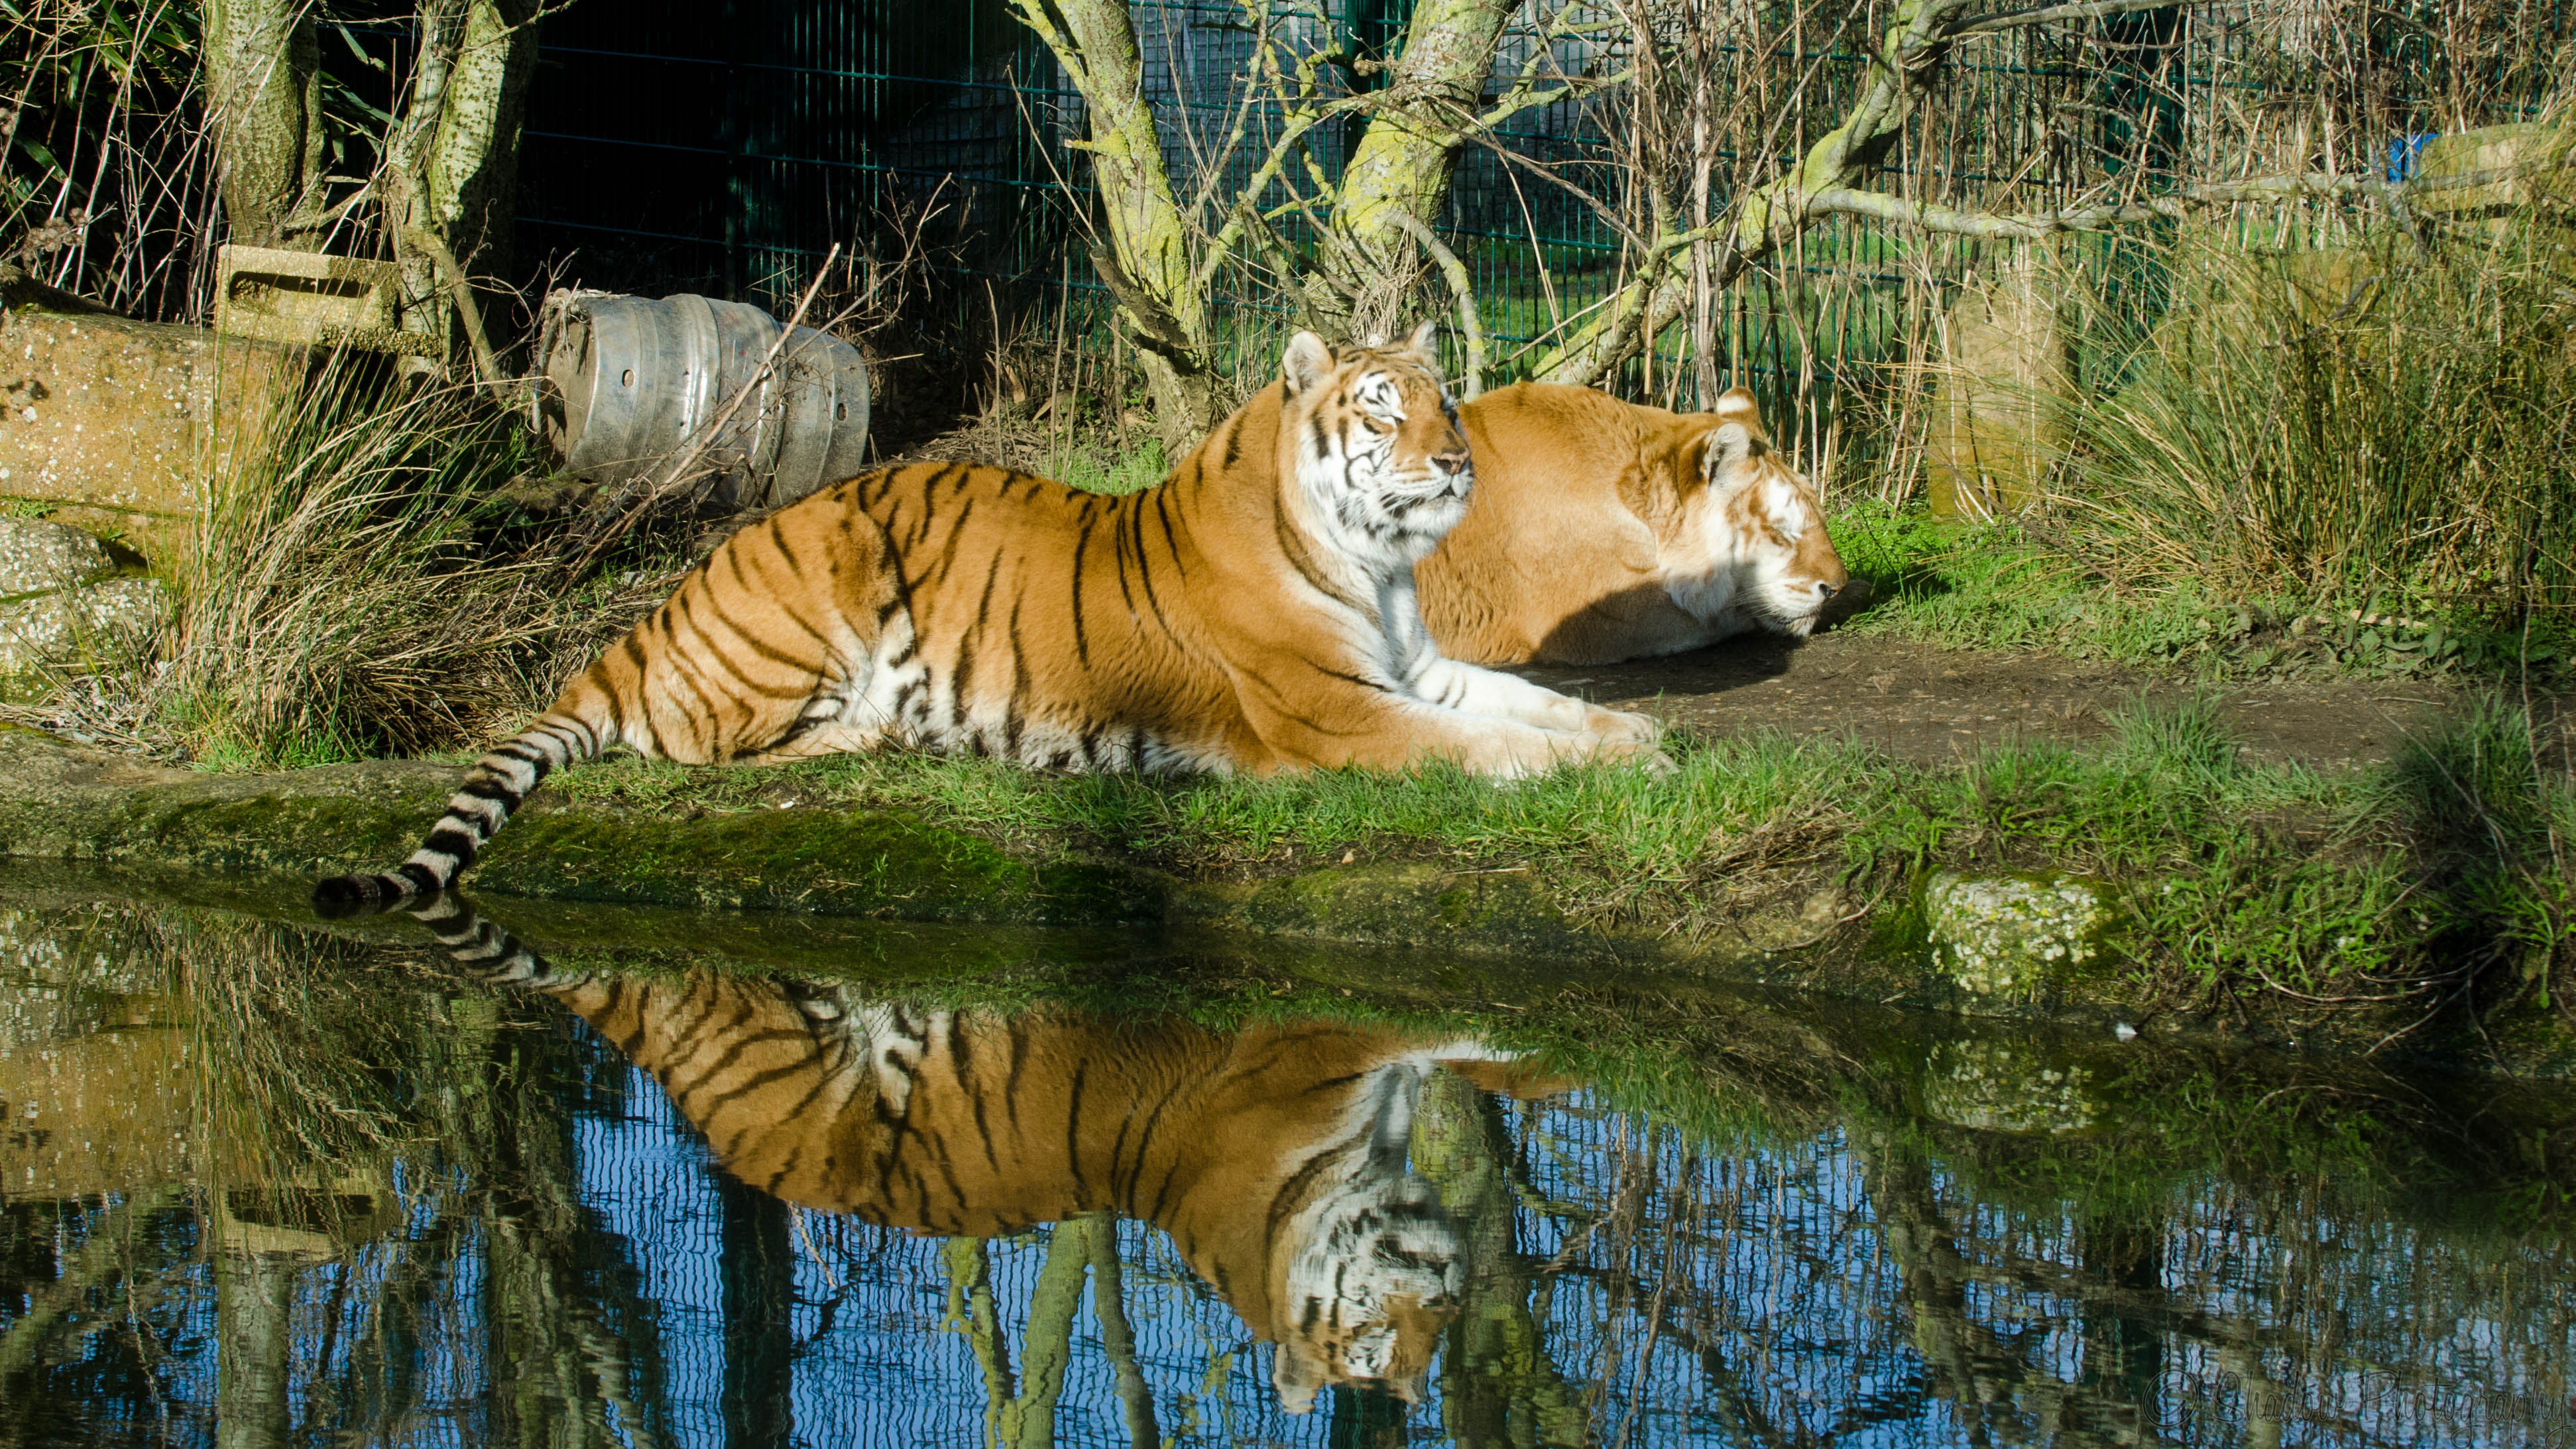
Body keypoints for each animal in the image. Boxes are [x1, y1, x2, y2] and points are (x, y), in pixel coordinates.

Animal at [316, 326, 1659, 914]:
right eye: (1383, 410)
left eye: (1449, 403)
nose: (1458, 464)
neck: (1377, 563)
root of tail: (659, 609)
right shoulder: (1338, 716)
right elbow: (1488, 746)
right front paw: (1586, 769)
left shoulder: (1417, 671)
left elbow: (1537, 699)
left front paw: (1637, 743)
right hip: (823, 588)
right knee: (690, 742)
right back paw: (878, 733)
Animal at [402, 893, 1568, 1413]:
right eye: (1369, 1340)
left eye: (1444, 1324)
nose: (1420, 1367)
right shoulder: (1327, 1064)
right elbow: (1427, 1034)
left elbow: (1449, 1051)